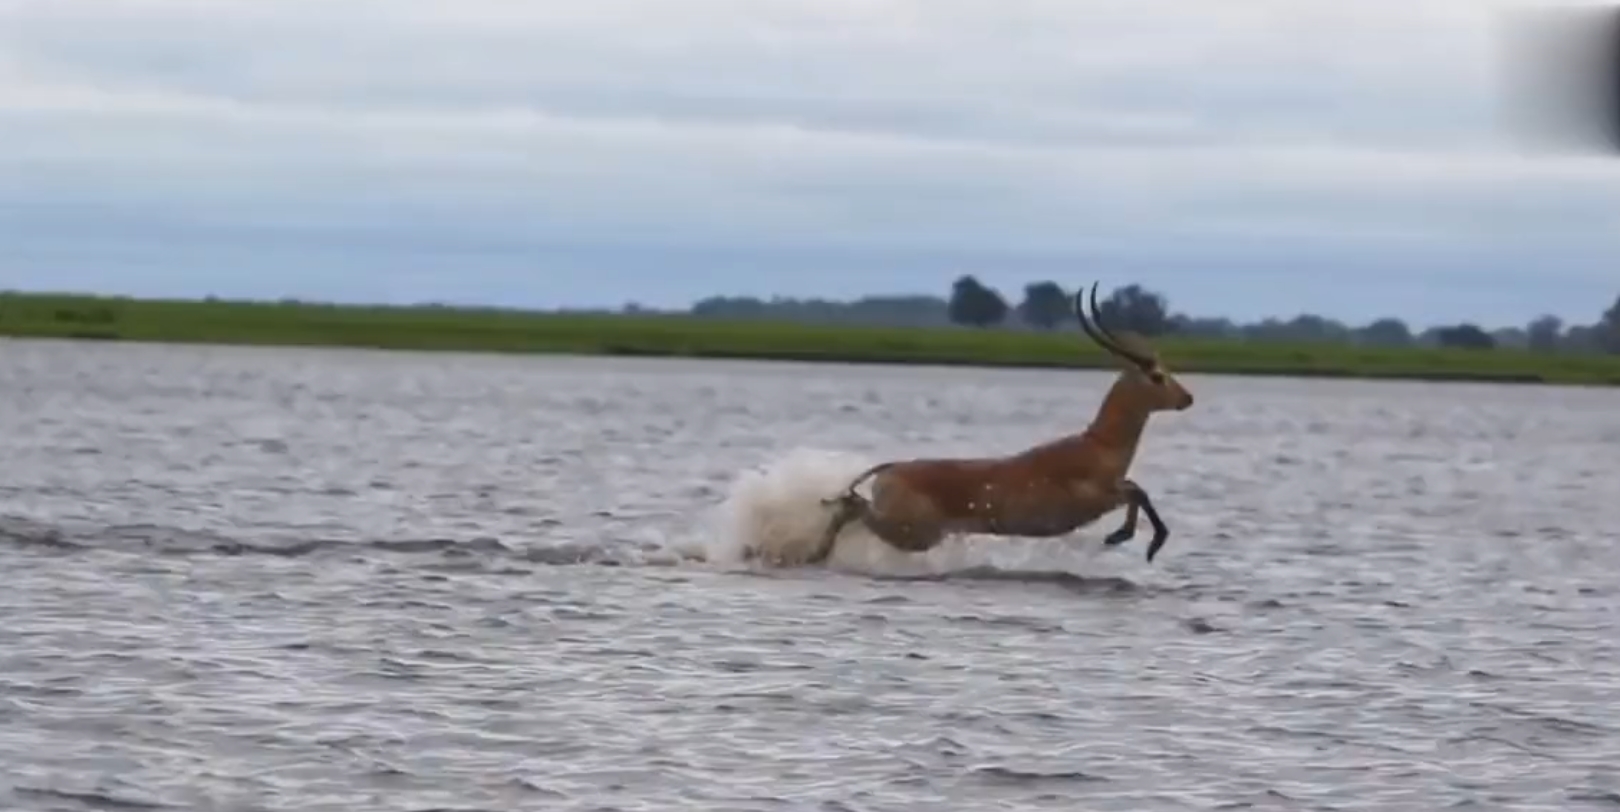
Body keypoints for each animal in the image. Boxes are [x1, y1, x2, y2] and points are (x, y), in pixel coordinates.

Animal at [816, 282, 1198, 567]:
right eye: (1157, 375)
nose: (1187, 398)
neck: (1099, 445)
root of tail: (890, 469)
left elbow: (1136, 487)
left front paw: (1122, 536)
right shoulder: (1096, 497)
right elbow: (1137, 490)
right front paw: (1138, 540)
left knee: (847, 507)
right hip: (912, 532)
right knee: (849, 506)